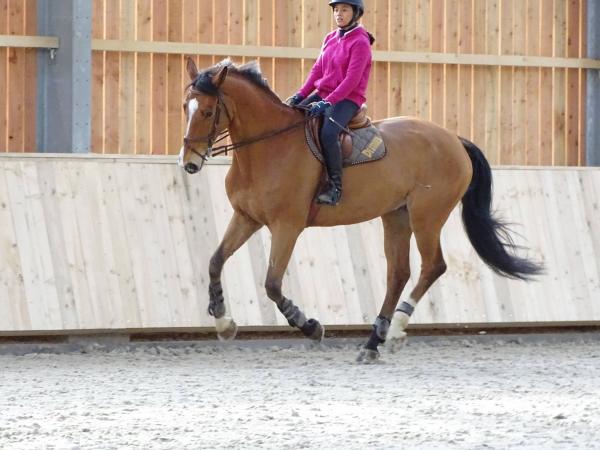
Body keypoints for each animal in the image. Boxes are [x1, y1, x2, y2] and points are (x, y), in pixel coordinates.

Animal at [178, 59, 544, 362]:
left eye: (208, 112)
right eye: (186, 107)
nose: (189, 163)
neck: (268, 148)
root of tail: (454, 139)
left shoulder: (287, 226)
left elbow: (272, 284)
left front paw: (310, 326)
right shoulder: (247, 218)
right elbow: (215, 262)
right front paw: (223, 322)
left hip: (426, 216)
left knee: (432, 266)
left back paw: (394, 331)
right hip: (396, 216)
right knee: (398, 273)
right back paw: (372, 342)